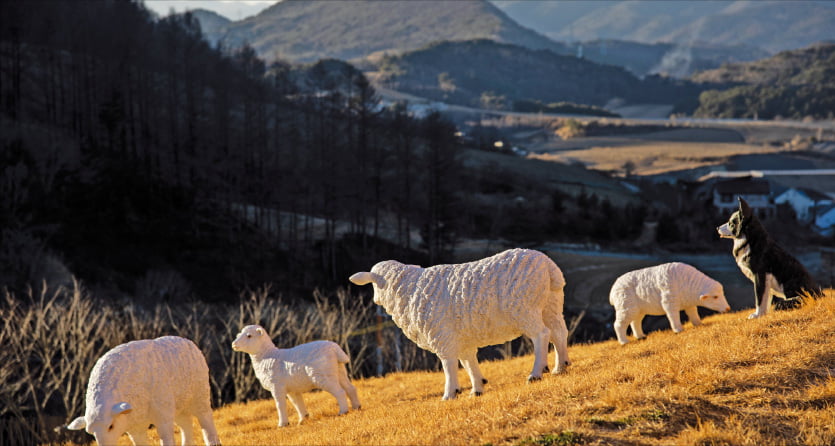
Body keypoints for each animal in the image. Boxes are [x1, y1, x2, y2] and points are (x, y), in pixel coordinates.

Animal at [66, 336, 220, 444]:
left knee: (206, 420)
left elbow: (166, 438)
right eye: (91, 433)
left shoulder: (162, 413)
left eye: (111, 426)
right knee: (186, 424)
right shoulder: (135, 426)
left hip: (200, 395)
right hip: (179, 406)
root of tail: (189, 342)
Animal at [232, 326, 360, 426]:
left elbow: (280, 405)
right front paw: (303, 420)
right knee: (350, 388)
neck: (267, 356)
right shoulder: (292, 390)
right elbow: (297, 403)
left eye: (249, 336)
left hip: (323, 375)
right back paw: (357, 407)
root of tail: (335, 348)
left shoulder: (276, 386)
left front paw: (282, 424)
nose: (234, 344)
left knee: (340, 392)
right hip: (339, 370)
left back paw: (343, 411)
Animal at [346, 247, 568, 400]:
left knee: (542, 335)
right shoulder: (461, 339)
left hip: (524, 307)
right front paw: (477, 389)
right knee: (559, 333)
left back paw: (536, 373)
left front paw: (450, 393)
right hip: (550, 304)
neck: (408, 289)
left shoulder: (442, 335)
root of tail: (549, 266)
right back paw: (561, 367)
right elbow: (469, 362)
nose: (375, 300)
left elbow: (449, 365)